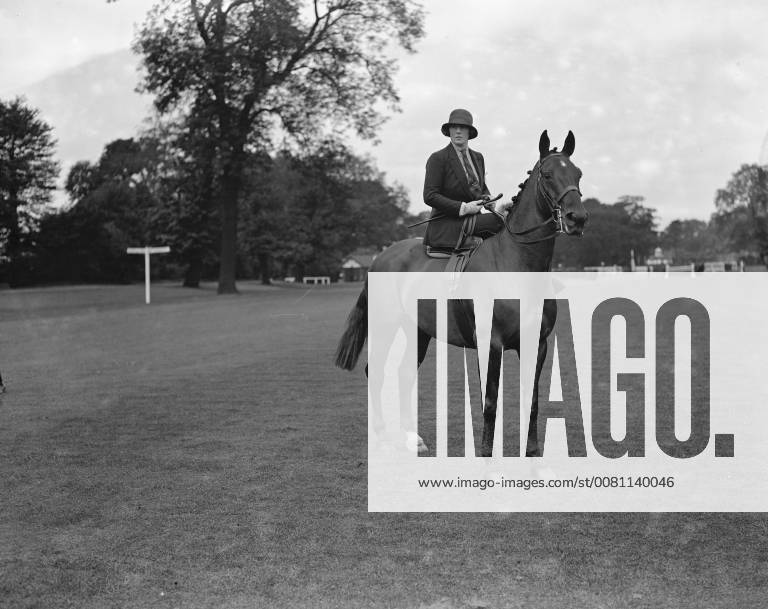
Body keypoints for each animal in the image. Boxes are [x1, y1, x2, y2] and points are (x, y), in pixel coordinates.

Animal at [332, 132, 584, 456]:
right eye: (549, 174)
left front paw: (532, 455)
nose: (577, 218)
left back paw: (412, 438)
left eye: (578, 174)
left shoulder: (537, 344)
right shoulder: (490, 344)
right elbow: (490, 403)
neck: (515, 263)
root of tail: (381, 256)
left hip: (418, 329)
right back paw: (381, 434)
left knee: (404, 373)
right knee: (375, 371)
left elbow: (532, 401)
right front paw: (486, 455)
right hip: (386, 325)